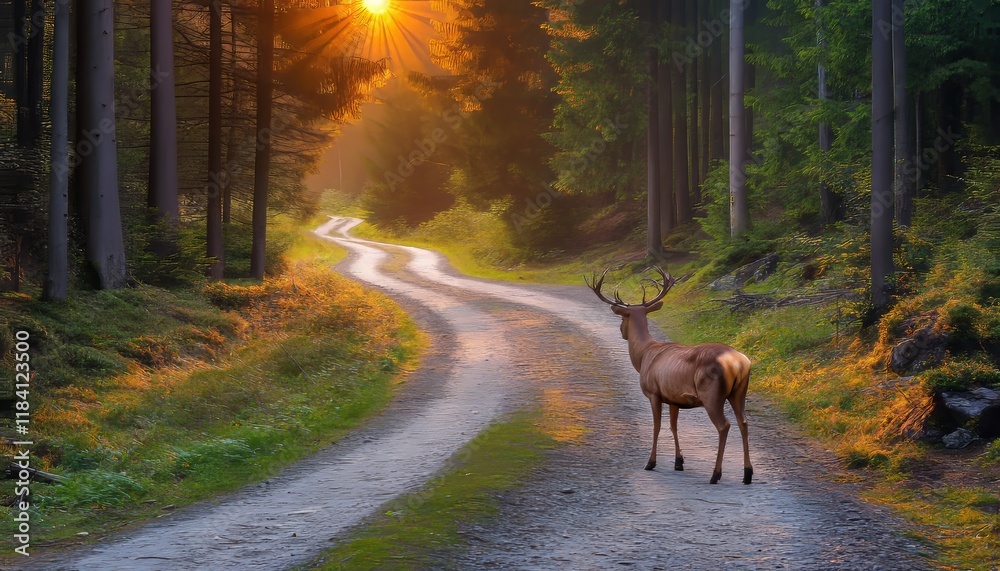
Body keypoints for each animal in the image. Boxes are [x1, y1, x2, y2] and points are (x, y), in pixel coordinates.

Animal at [585, 266, 753, 485]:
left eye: (623, 318)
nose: (621, 331)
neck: (644, 355)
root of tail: (739, 363)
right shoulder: (674, 398)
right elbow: (674, 426)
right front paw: (679, 462)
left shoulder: (654, 393)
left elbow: (657, 426)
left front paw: (651, 462)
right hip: (739, 392)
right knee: (744, 422)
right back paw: (747, 474)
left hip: (711, 394)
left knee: (724, 426)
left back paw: (716, 474)